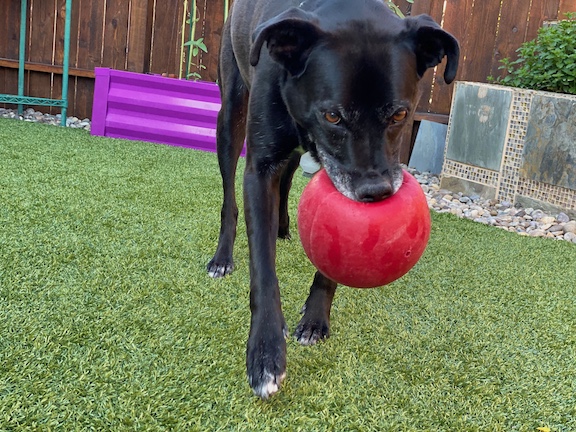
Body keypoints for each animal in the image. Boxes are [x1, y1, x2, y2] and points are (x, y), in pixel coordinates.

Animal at [207, 0, 460, 398]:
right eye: (332, 115)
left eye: (400, 114)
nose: (375, 192)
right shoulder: (259, 170)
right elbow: (263, 267)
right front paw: (265, 354)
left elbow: (332, 257)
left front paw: (314, 320)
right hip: (231, 112)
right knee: (229, 195)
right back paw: (222, 257)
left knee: (289, 171)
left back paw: (282, 226)